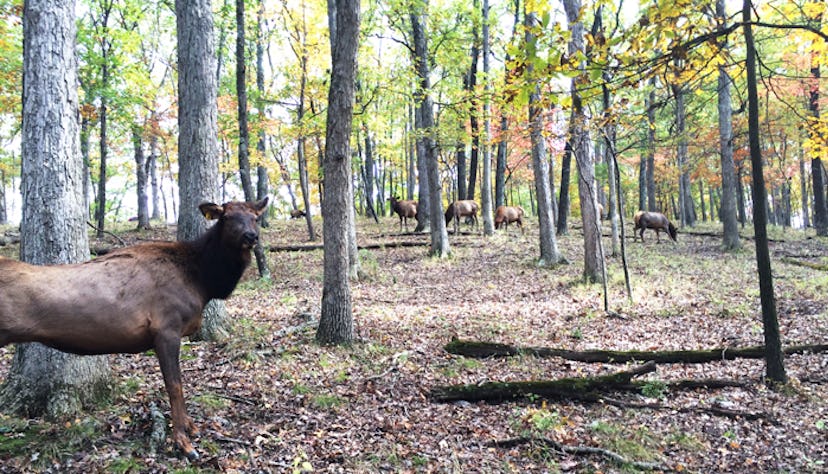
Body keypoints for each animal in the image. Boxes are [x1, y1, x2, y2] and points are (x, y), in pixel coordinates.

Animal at [0, 197, 266, 460]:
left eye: (255, 216)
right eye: (226, 217)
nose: (251, 236)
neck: (203, 282)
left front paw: (191, 427)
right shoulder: (166, 329)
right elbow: (175, 386)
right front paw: (184, 442)